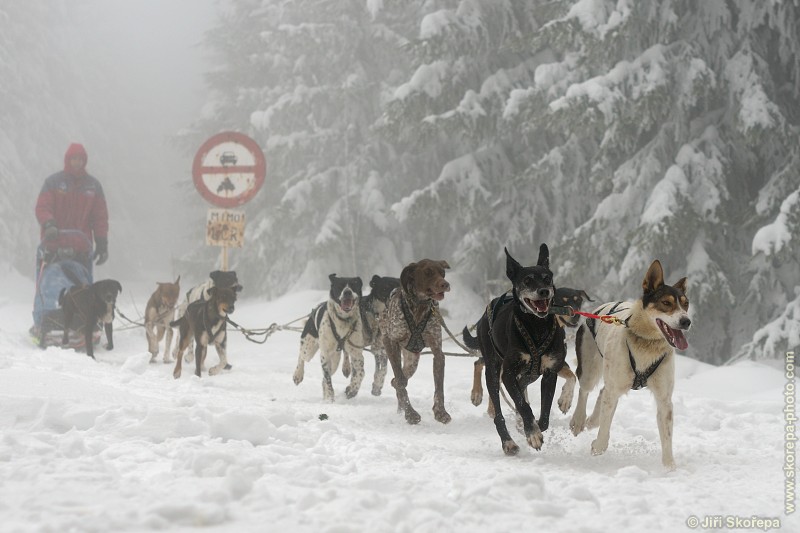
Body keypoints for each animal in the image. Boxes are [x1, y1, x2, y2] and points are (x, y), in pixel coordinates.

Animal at [462, 247, 576, 456]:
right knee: (498, 413)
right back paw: (508, 442)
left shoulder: (549, 373)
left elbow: (544, 415)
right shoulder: (508, 374)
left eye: (547, 278)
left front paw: (535, 426)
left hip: (527, 376)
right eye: (527, 280)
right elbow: (523, 407)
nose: (544, 291)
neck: (537, 327)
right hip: (493, 371)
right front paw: (533, 433)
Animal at [568, 260, 688, 468]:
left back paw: (593, 420)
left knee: (603, 393)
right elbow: (604, 431)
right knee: (585, 391)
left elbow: (667, 436)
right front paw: (598, 447)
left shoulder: (664, 399)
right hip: (591, 368)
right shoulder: (613, 388)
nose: (686, 321)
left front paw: (669, 467)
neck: (646, 344)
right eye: (666, 303)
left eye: (686, 304)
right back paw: (579, 420)